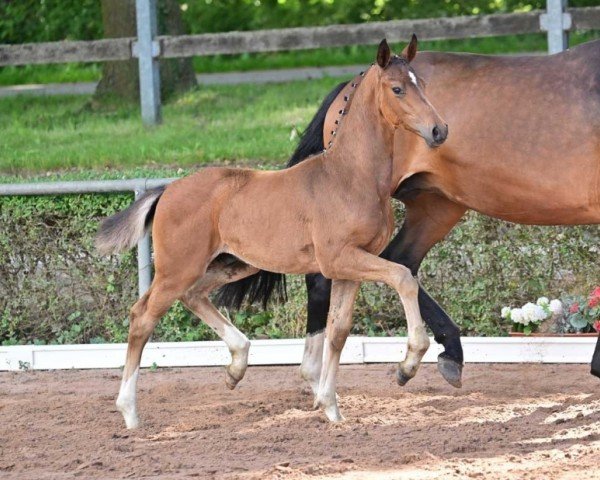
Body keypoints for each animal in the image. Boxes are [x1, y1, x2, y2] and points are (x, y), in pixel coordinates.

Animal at [98, 38, 448, 428]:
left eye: (423, 84)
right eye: (397, 88)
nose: (439, 130)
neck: (350, 176)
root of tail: (167, 189)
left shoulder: (349, 266)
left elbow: (339, 331)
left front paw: (330, 406)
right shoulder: (340, 258)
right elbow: (403, 277)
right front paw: (409, 363)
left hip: (232, 263)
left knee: (194, 295)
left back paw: (236, 366)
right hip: (178, 268)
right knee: (142, 317)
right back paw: (130, 412)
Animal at [218, 37, 600, 390]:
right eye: (399, 89)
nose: (439, 130)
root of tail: (352, 84)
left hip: (437, 206)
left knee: (401, 261)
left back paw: (441, 357)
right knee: (329, 276)